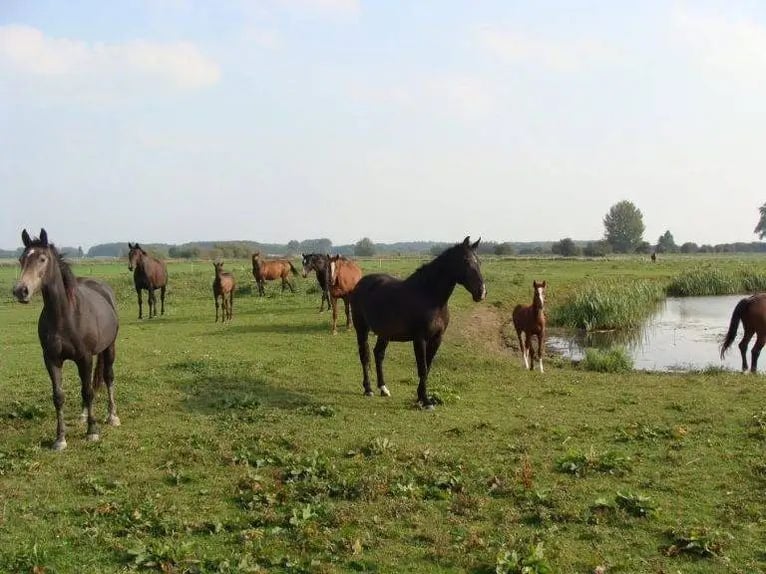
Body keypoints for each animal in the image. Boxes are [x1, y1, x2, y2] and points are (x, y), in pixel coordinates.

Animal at [12, 228, 121, 450]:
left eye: (42, 259)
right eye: (21, 259)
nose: (21, 291)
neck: (65, 315)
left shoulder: (85, 358)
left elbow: (88, 391)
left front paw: (92, 431)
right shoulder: (51, 360)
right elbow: (59, 396)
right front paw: (60, 438)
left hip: (109, 348)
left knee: (108, 377)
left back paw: (112, 416)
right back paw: (83, 415)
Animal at [350, 238, 486, 410]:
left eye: (479, 262)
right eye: (466, 261)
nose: (482, 292)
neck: (430, 296)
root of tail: (360, 283)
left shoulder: (437, 339)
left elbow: (428, 367)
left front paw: (421, 397)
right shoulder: (420, 339)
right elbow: (422, 368)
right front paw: (426, 401)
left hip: (384, 333)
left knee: (378, 355)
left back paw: (383, 388)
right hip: (361, 329)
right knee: (365, 356)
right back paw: (368, 389)